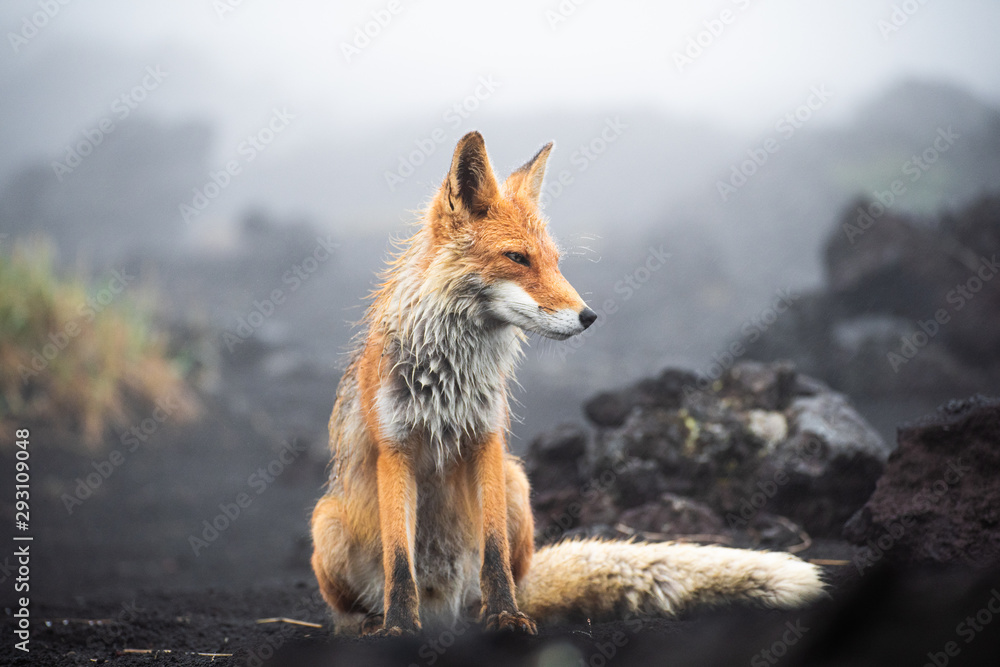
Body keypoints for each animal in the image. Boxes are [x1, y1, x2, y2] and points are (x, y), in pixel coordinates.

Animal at [308, 132, 824, 636]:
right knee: (351, 610)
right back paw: (371, 624)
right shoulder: (395, 448)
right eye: (517, 258)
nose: (589, 316)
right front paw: (398, 627)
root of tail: (443, 610)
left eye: (555, 261)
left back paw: (485, 613)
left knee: (503, 578)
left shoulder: (486, 439)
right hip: (326, 522)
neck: (449, 379)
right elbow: (400, 559)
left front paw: (506, 617)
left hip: (517, 483)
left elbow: (494, 552)